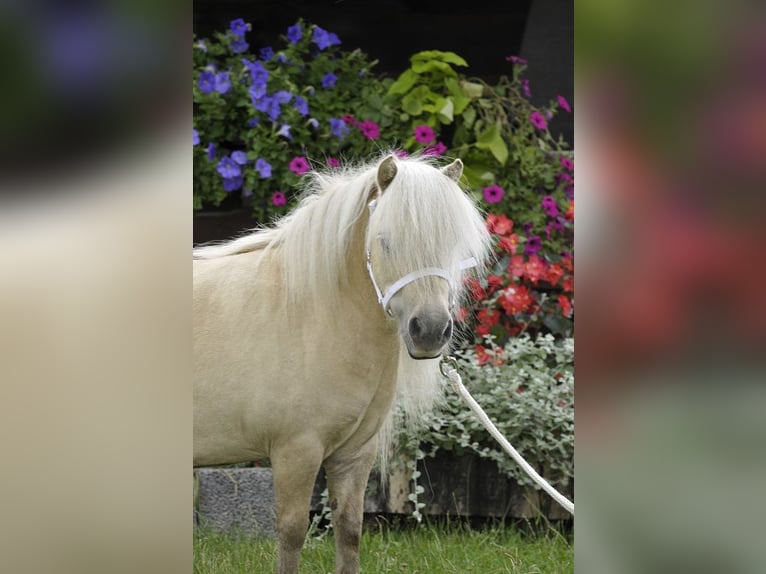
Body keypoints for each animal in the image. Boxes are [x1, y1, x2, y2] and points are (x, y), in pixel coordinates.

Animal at [192, 154, 492, 574]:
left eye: (451, 243)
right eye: (385, 241)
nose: (430, 330)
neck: (308, 314)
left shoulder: (354, 453)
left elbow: (349, 531)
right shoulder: (295, 451)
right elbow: (292, 534)